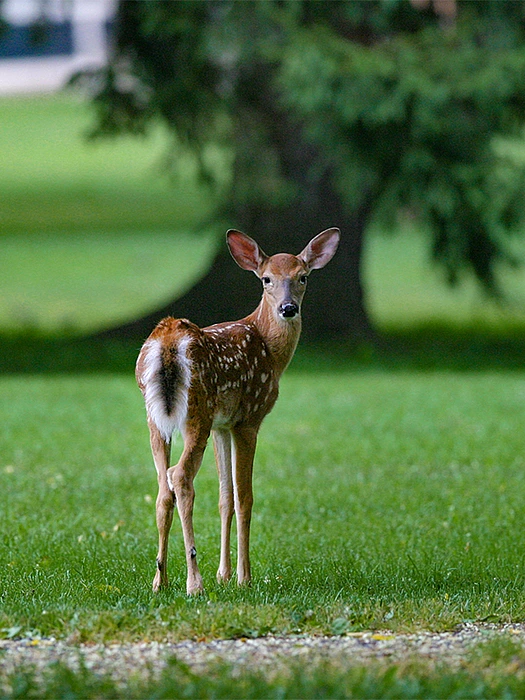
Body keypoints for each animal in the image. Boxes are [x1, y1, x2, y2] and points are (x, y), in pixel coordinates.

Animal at [135, 227, 340, 595]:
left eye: (302, 277)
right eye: (266, 279)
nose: (288, 308)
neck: (271, 352)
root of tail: (168, 338)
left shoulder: (223, 425)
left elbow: (225, 497)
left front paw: (225, 574)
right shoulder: (249, 419)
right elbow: (245, 497)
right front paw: (243, 577)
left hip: (156, 419)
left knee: (162, 487)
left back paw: (160, 580)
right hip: (196, 413)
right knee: (180, 476)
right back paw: (194, 582)